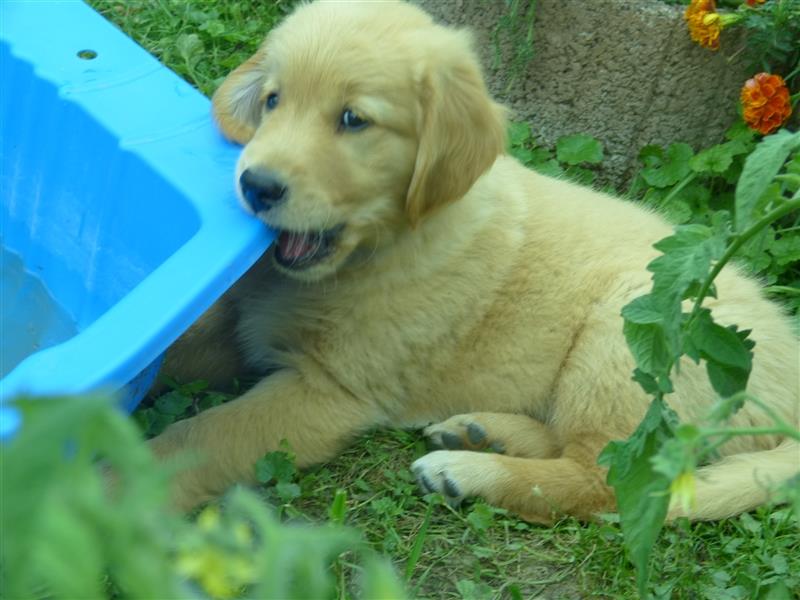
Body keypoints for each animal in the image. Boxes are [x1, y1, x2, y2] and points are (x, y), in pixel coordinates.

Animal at [150, 1, 800, 520]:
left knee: (607, 482)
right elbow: (180, 349)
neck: (378, 252)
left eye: (353, 119)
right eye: (273, 101)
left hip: (630, 334)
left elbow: (204, 434)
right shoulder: (241, 328)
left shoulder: (327, 390)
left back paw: (469, 471)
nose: (255, 185)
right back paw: (484, 432)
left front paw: (129, 481)